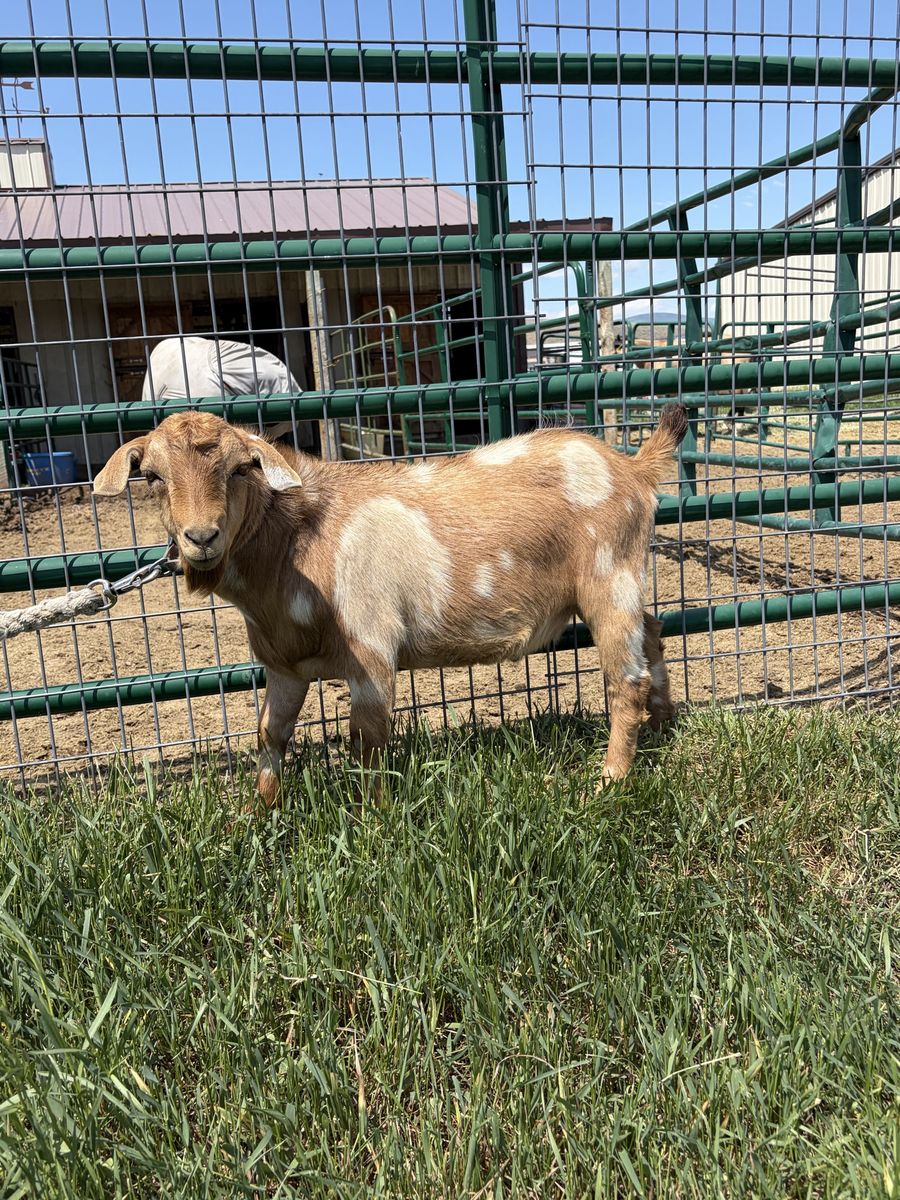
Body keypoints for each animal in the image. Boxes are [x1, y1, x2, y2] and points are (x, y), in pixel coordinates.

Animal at [94, 406, 687, 804]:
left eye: (241, 469)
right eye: (152, 476)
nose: (201, 537)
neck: (297, 541)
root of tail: (634, 469)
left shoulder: (370, 647)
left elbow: (369, 736)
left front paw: (374, 820)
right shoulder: (284, 665)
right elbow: (270, 732)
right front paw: (261, 814)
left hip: (608, 575)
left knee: (625, 678)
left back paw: (610, 779)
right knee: (653, 631)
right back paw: (663, 726)